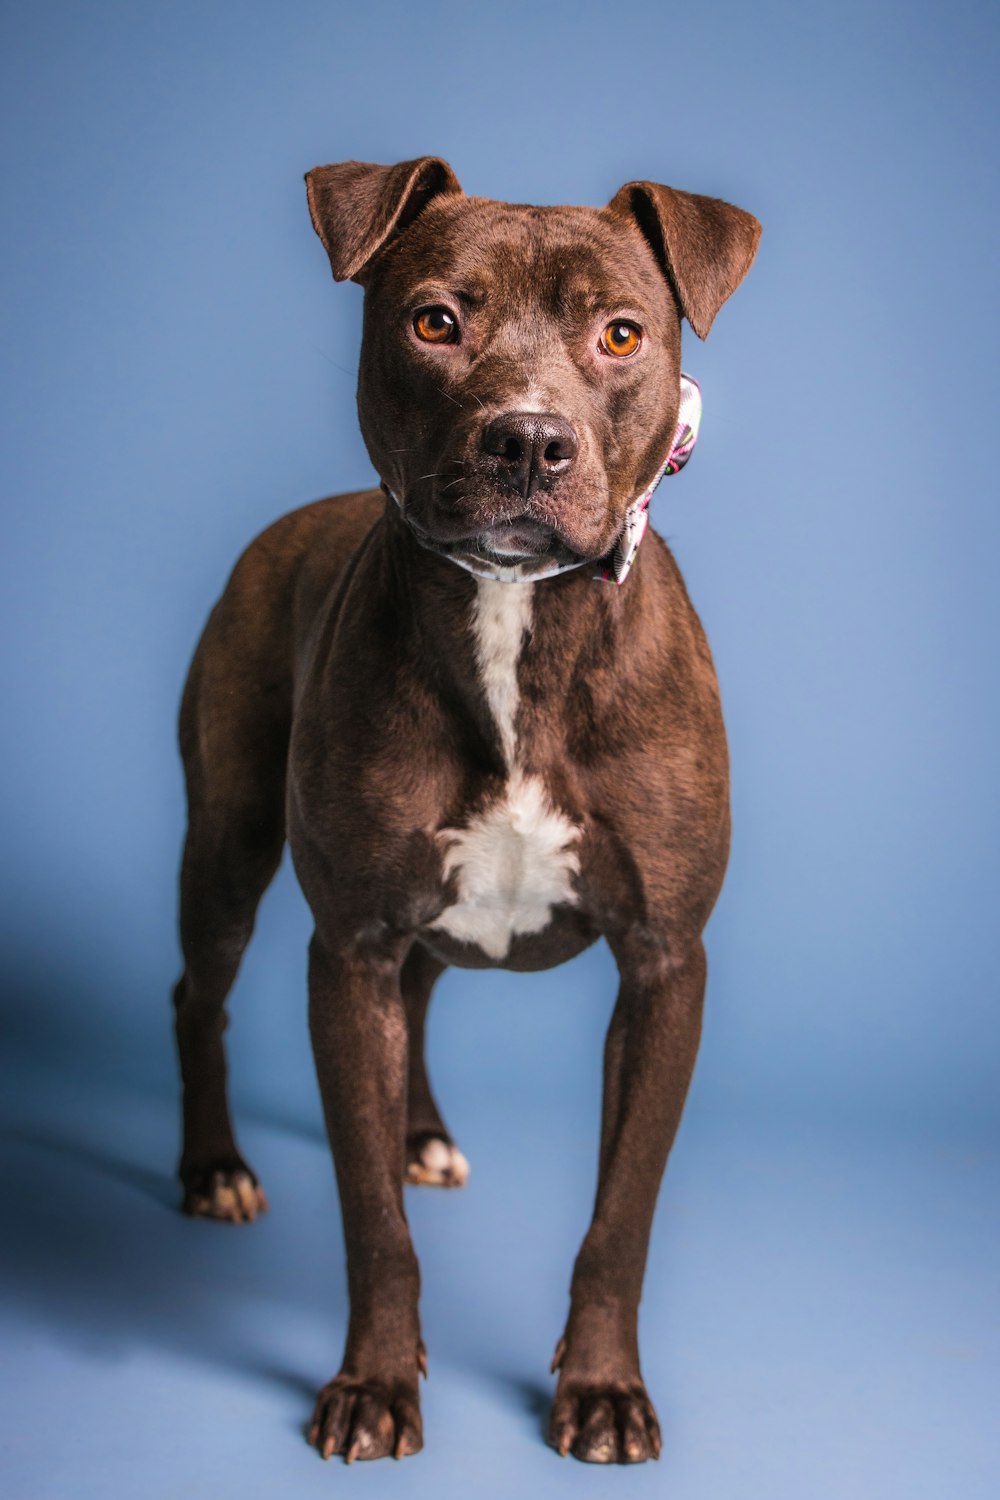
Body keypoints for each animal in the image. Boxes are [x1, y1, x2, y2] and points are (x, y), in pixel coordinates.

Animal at [176, 161, 761, 1464]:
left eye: (621, 334)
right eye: (435, 321)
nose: (530, 438)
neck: (515, 621)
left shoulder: (665, 965)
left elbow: (619, 1218)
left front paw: (601, 1392)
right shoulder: (347, 949)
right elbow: (371, 1225)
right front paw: (374, 1386)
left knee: (426, 994)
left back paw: (419, 1133)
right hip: (227, 843)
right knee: (201, 994)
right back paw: (213, 1168)